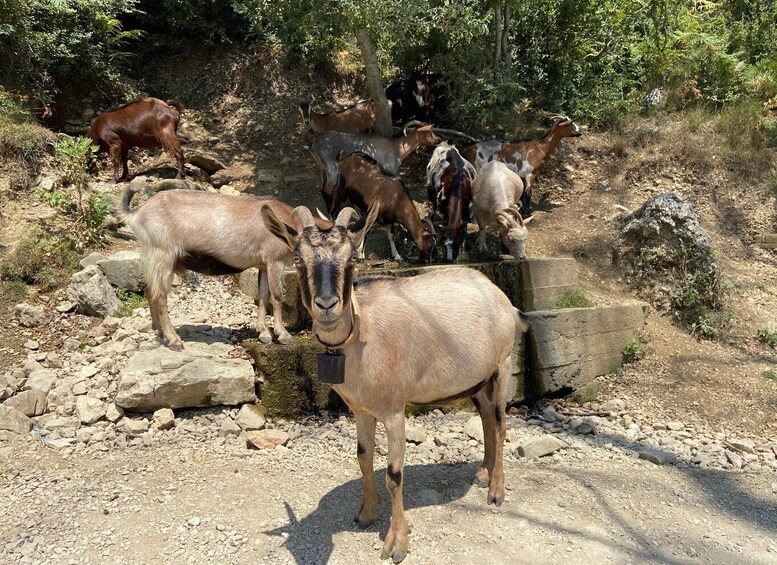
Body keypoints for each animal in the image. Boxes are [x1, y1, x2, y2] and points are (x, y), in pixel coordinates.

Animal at [119, 186, 328, 348]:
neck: (285, 225)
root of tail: (137, 213)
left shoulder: (263, 265)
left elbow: (263, 295)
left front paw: (264, 333)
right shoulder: (274, 261)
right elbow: (277, 297)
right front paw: (283, 335)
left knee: (149, 290)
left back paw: (159, 331)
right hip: (162, 255)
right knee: (159, 296)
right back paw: (174, 340)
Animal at [260, 205, 528, 560]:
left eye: (351, 259)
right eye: (298, 259)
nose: (327, 305)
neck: (363, 334)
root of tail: (503, 300)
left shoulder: (393, 410)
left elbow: (394, 474)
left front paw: (396, 542)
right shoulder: (360, 409)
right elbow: (363, 457)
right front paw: (366, 513)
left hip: (502, 363)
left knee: (500, 423)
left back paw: (496, 491)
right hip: (475, 379)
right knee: (485, 416)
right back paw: (483, 473)